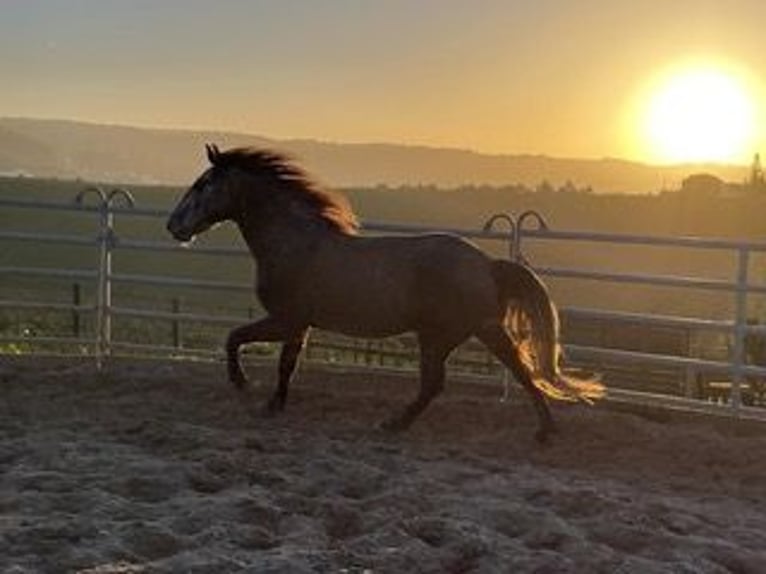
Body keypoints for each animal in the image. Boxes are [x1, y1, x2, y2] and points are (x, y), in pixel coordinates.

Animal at [168, 146, 608, 444]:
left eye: (203, 184)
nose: (174, 226)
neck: (295, 242)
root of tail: (487, 264)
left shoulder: (285, 319)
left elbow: (235, 339)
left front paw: (243, 385)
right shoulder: (299, 325)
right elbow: (285, 366)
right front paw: (273, 405)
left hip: (439, 336)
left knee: (438, 383)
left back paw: (394, 424)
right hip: (481, 330)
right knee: (518, 370)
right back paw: (545, 430)